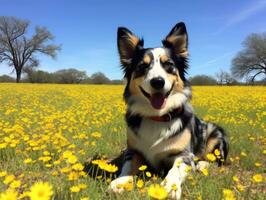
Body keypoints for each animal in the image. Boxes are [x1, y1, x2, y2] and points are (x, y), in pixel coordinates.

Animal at [110, 22, 229, 200]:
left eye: (169, 65)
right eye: (142, 66)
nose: (158, 81)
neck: (156, 117)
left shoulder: (184, 154)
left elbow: (175, 170)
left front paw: (169, 187)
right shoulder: (134, 151)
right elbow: (128, 166)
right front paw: (120, 181)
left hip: (215, 133)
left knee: (216, 159)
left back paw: (202, 164)